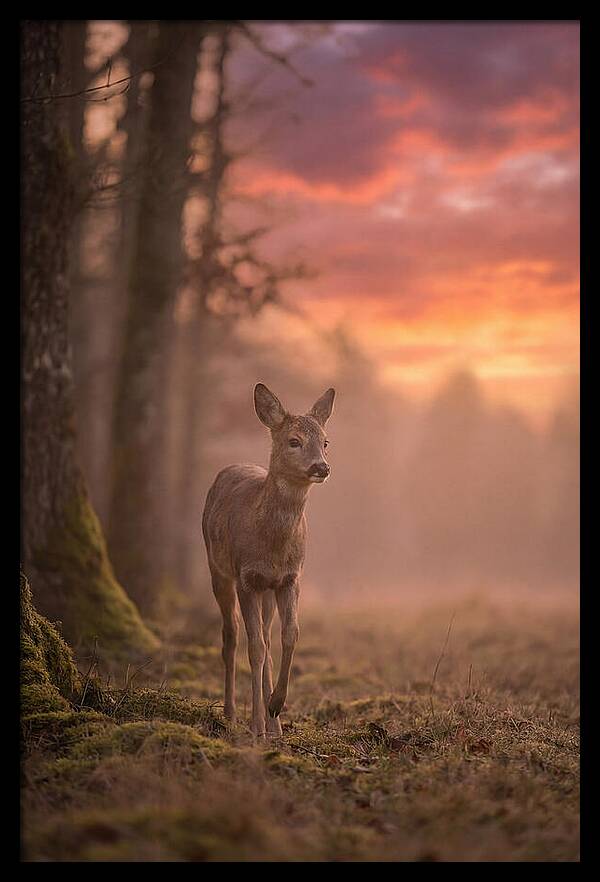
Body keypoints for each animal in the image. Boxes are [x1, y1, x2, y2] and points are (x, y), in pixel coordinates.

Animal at [202, 383, 335, 740]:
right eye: (294, 441)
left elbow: (290, 635)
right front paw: (255, 726)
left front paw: (276, 705)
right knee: (231, 636)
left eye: (325, 441)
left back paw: (273, 723)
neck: (272, 546)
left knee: (264, 633)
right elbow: (255, 648)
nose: (321, 467)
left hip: (267, 591)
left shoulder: (290, 578)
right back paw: (232, 713)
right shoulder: (247, 577)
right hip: (218, 569)